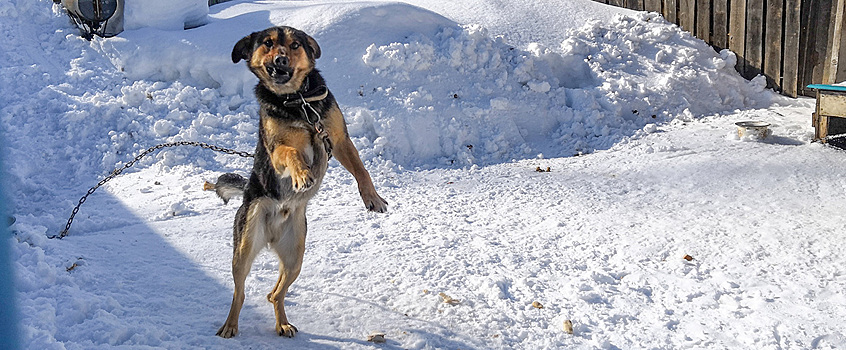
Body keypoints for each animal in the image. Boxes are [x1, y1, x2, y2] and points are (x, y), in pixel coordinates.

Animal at [219, 26, 390, 340]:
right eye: (267, 44)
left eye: (295, 45)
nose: (280, 60)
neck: (297, 100)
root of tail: (271, 233)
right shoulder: (277, 151)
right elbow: (292, 152)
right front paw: (301, 174)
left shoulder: (338, 138)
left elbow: (361, 169)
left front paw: (372, 197)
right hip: (246, 245)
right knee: (240, 292)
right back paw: (230, 325)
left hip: (295, 256)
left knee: (275, 294)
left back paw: (282, 324)